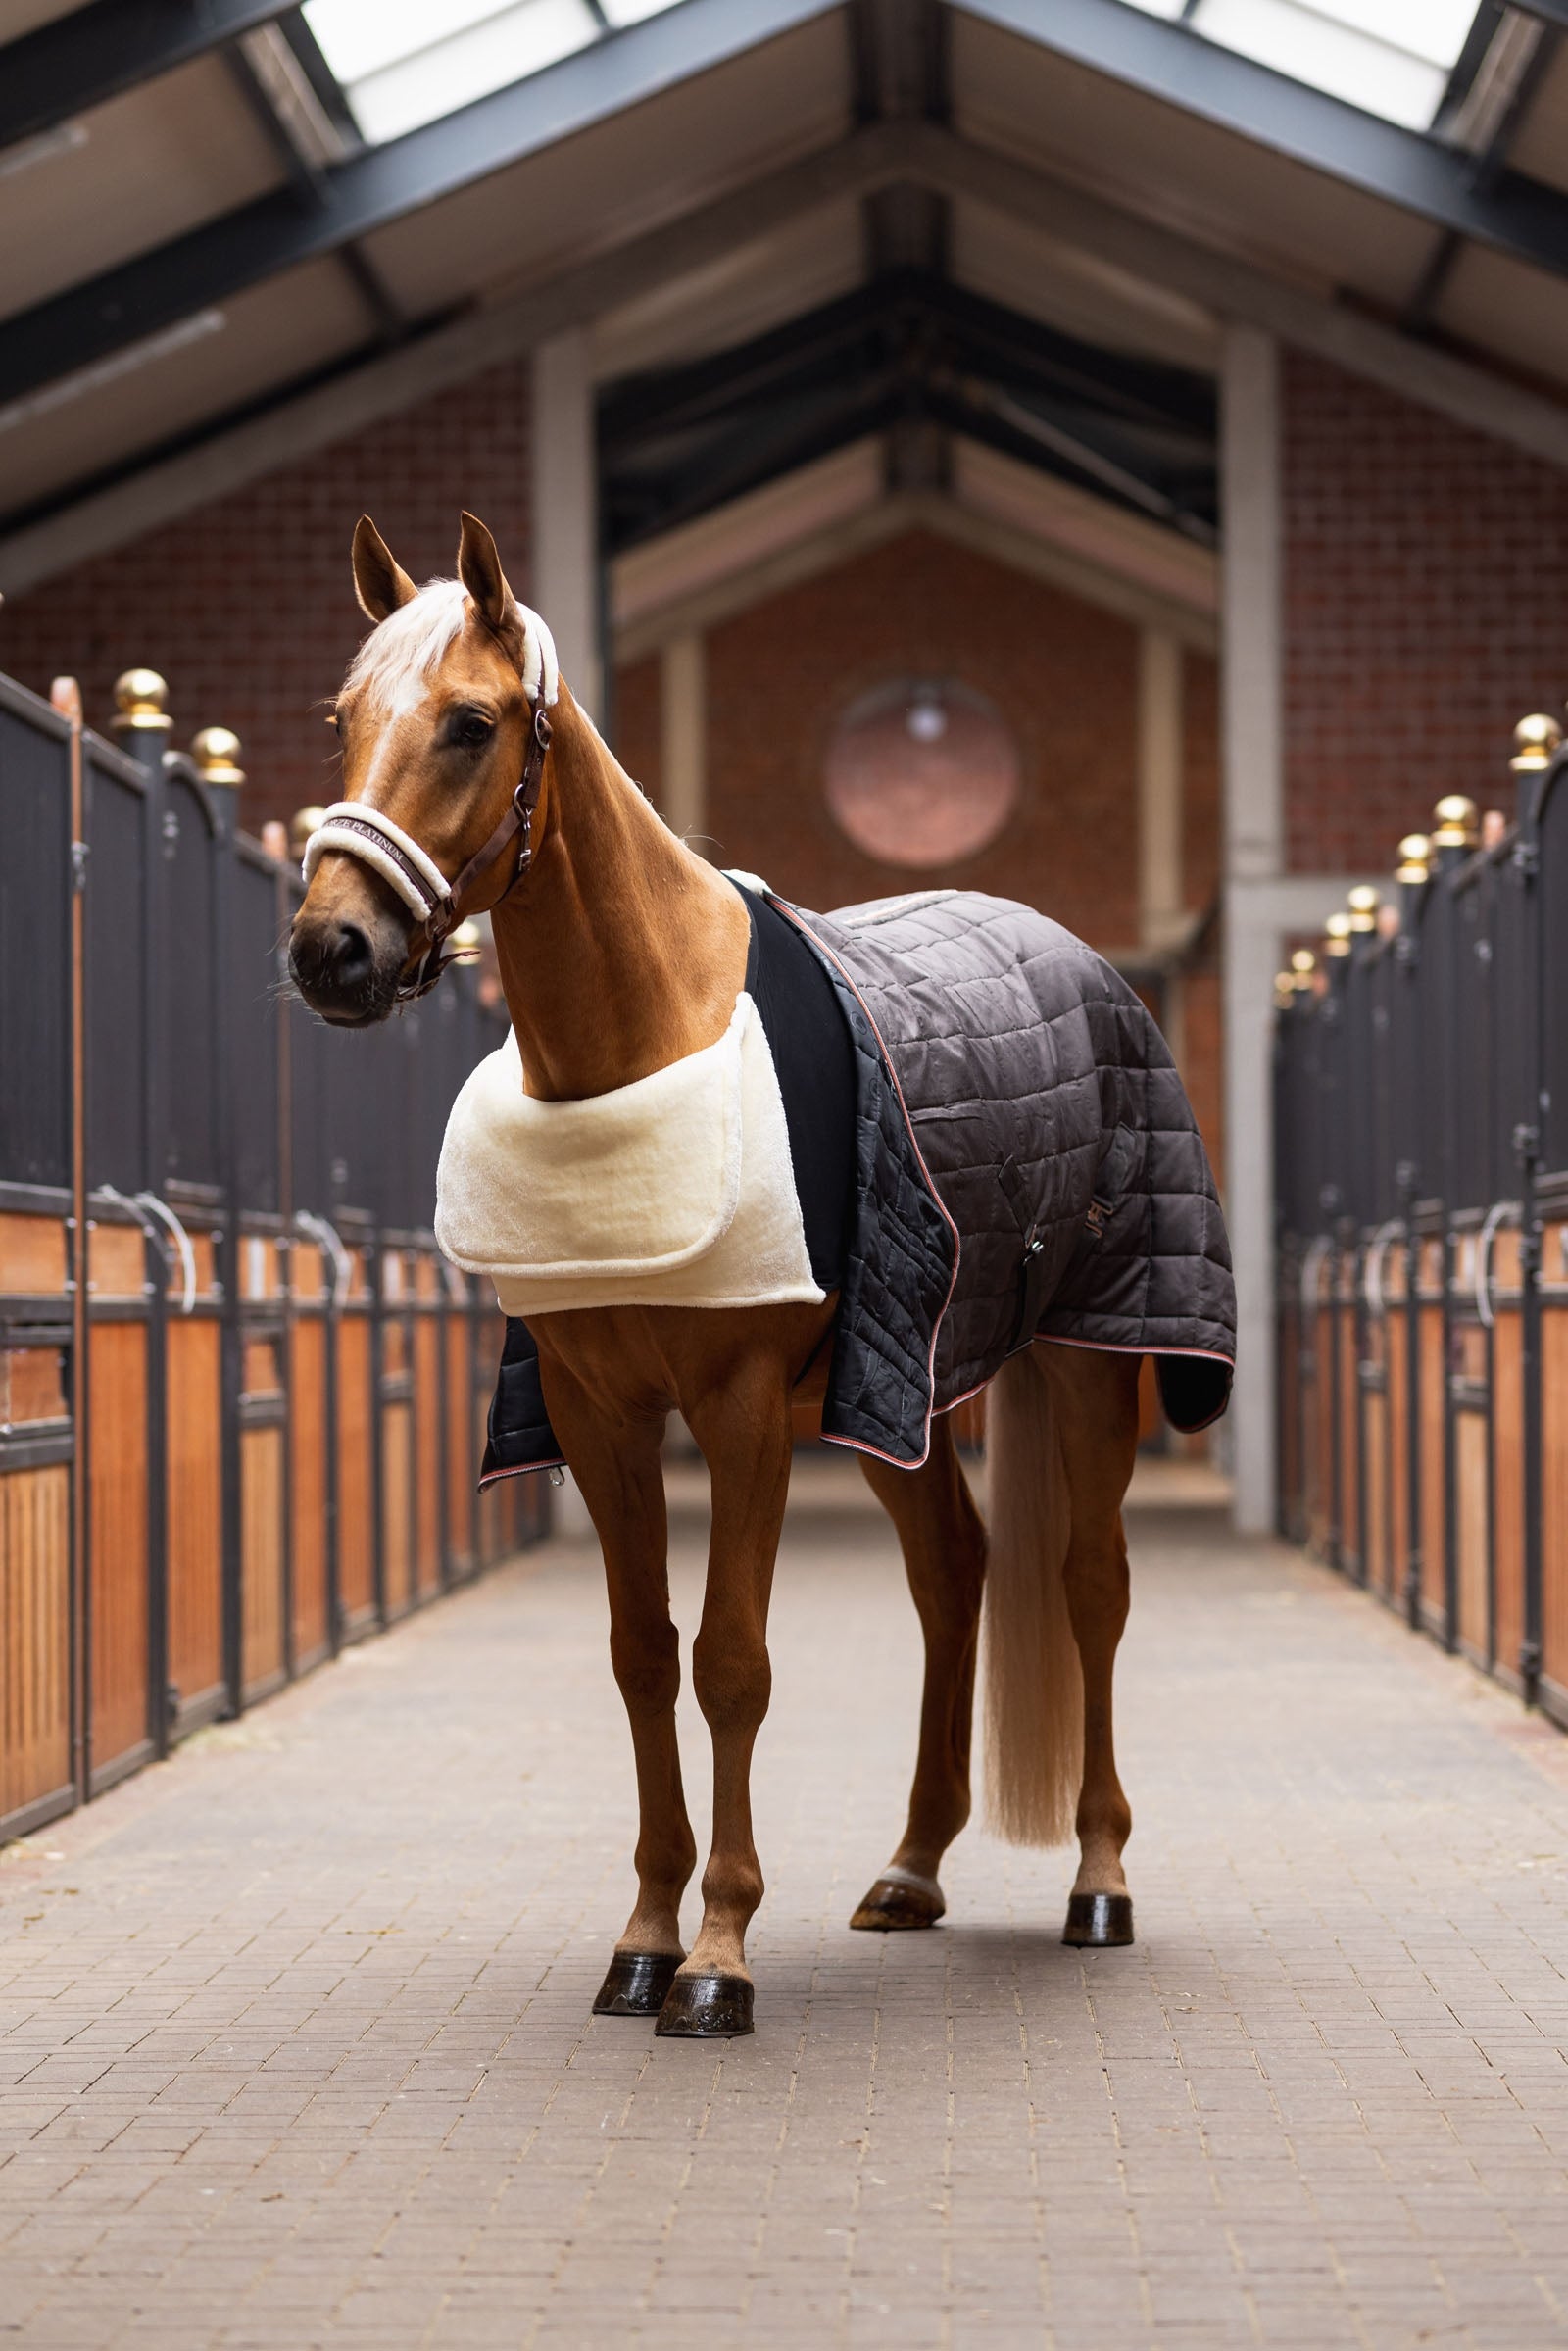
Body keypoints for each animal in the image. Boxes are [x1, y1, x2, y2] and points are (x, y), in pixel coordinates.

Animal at [289, 511, 1232, 2039]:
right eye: (344, 719)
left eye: (471, 723)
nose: (332, 949)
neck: (649, 1036)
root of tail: (1080, 961)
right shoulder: (600, 1410)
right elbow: (641, 1652)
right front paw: (642, 1940)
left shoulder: (737, 1410)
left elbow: (732, 1657)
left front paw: (720, 1958)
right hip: (904, 1391)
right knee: (955, 1572)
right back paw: (911, 1866)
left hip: (1093, 1355)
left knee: (1091, 1584)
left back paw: (1099, 1882)